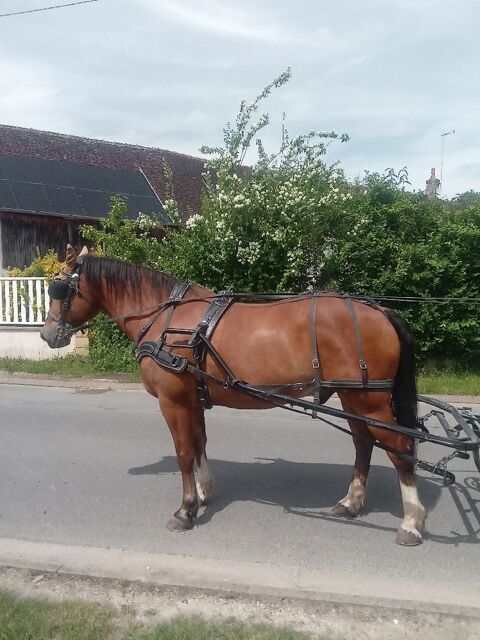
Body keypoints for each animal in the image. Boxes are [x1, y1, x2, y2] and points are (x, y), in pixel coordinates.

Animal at [40, 244, 426, 546]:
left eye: (58, 288)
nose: (46, 334)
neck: (166, 318)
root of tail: (381, 311)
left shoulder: (173, 401)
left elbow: (183, 453)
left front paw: (185, 510)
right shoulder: (192, 399)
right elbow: (199, 444)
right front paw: (202, 494)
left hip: (371, 403)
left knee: (400, 448)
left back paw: (411, 521)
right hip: (353, 397)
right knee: (364, 444)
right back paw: (351, 502)